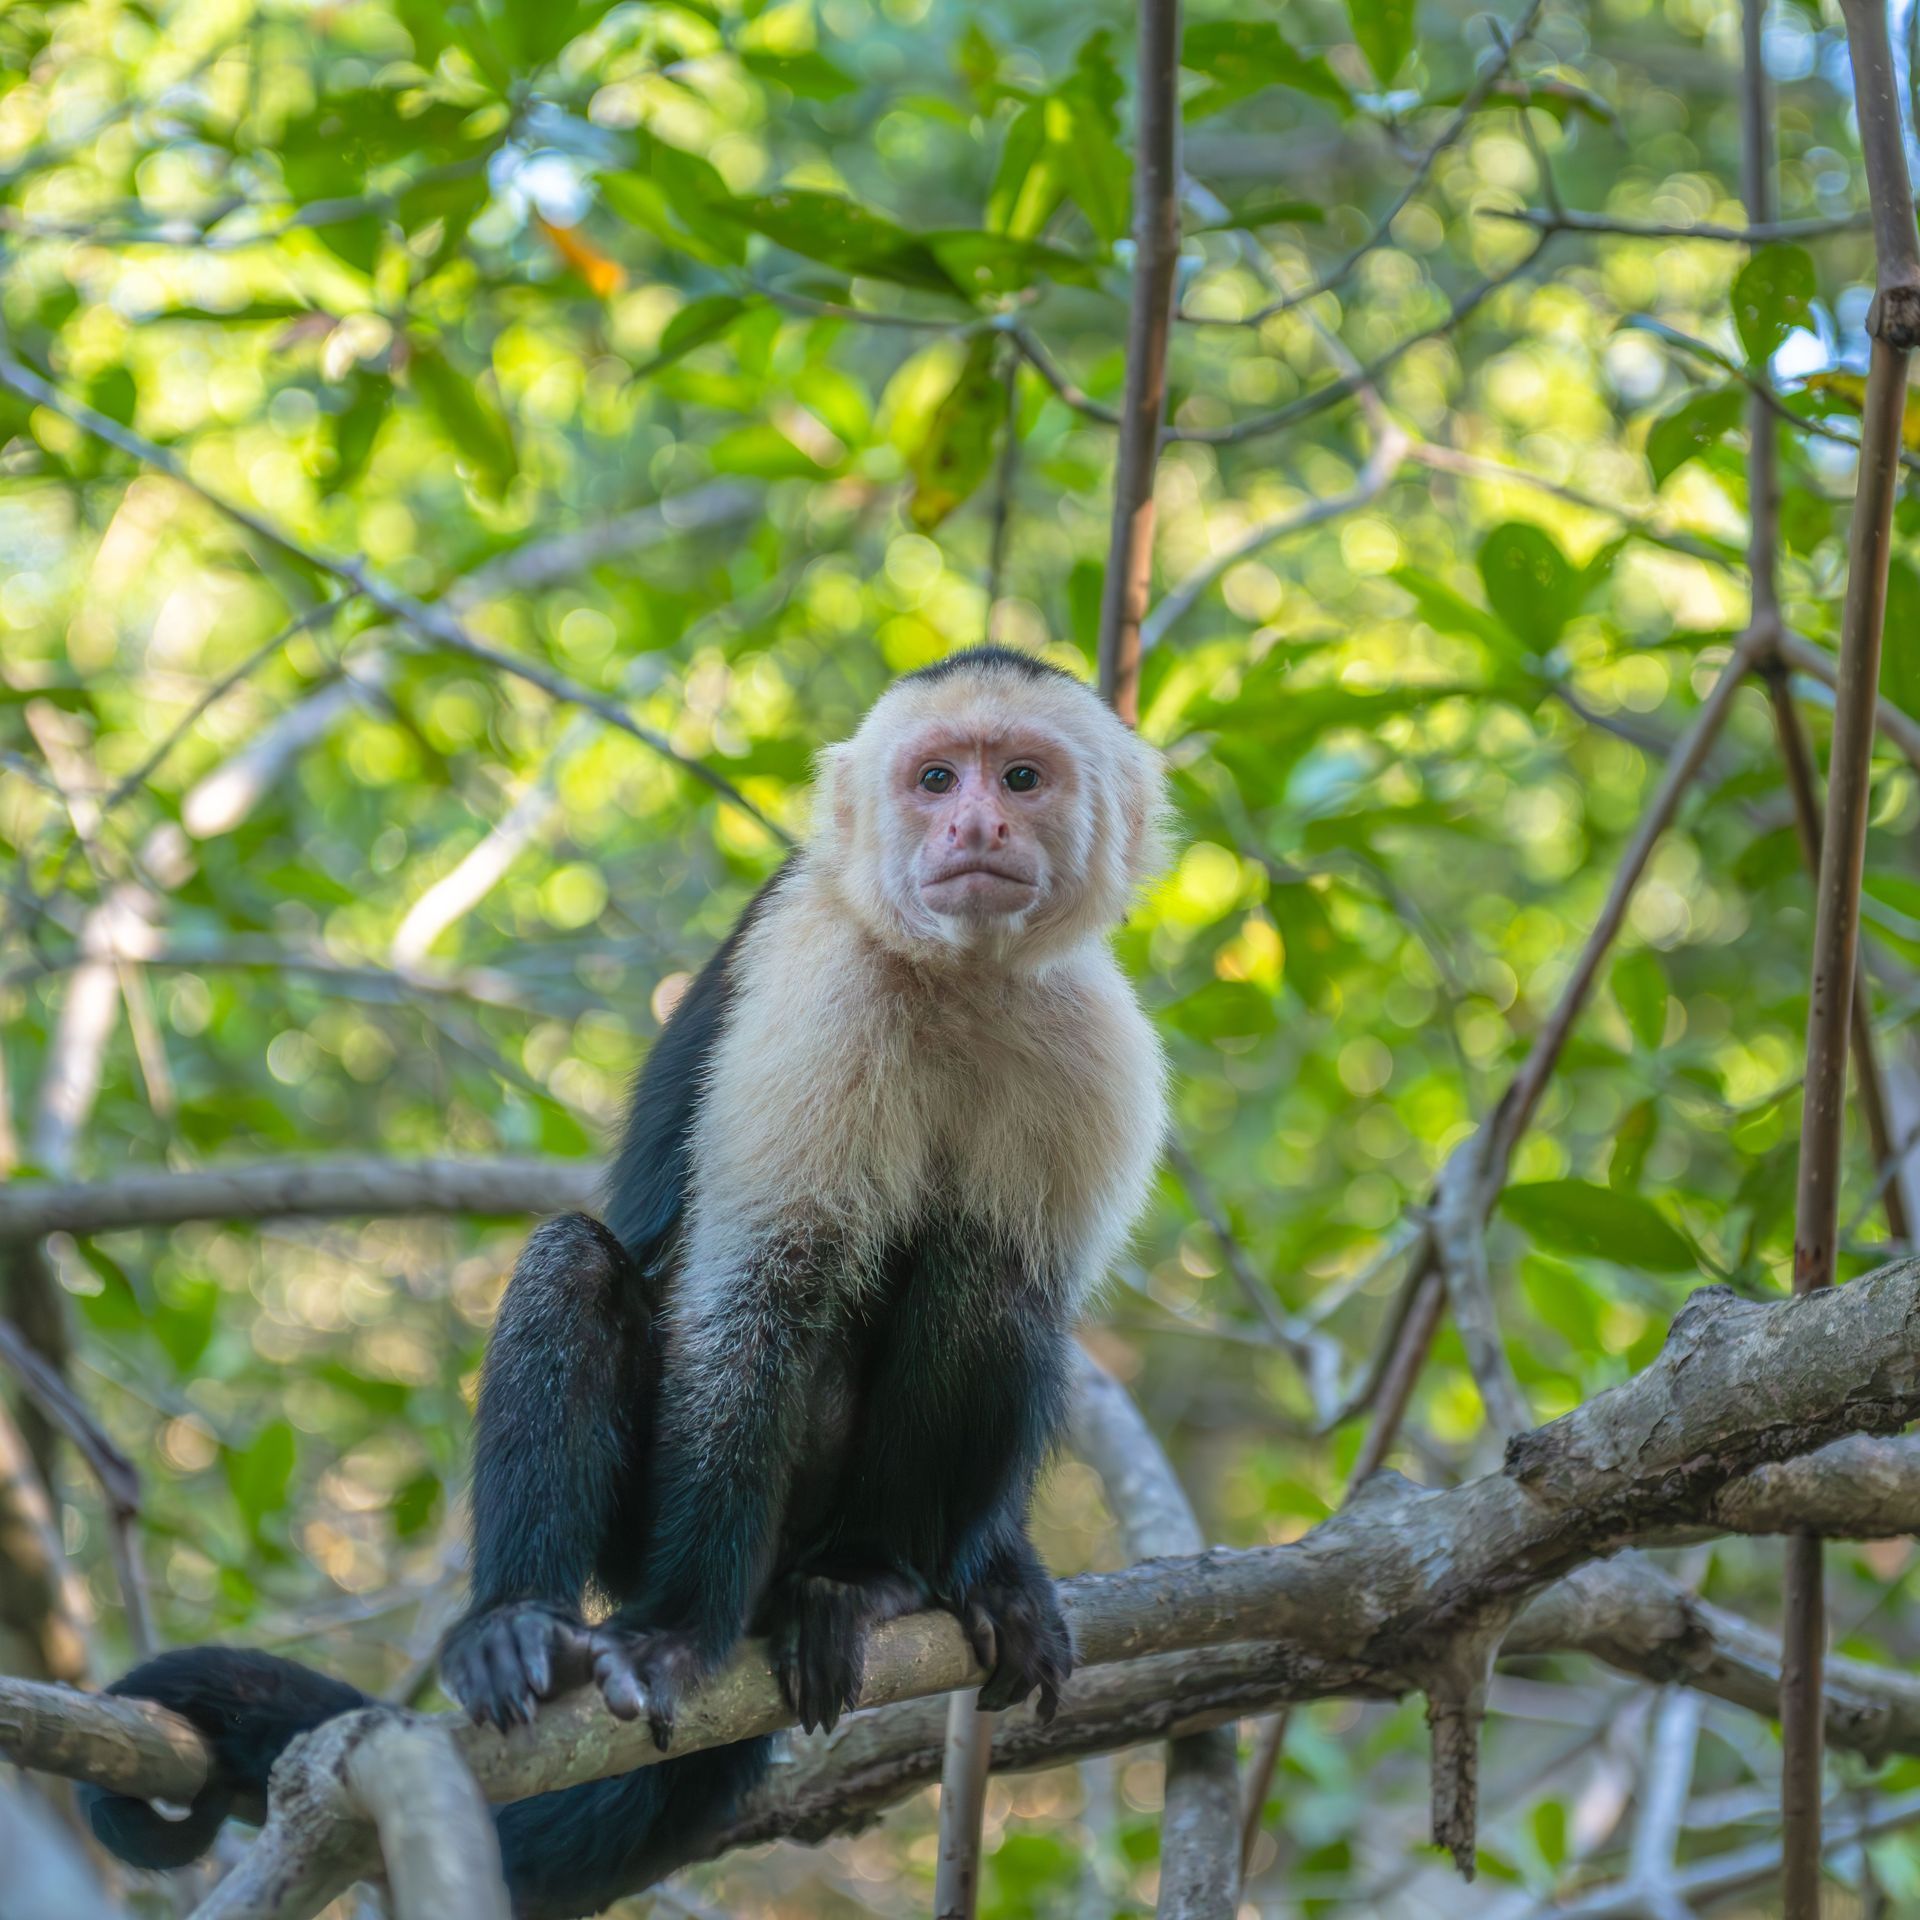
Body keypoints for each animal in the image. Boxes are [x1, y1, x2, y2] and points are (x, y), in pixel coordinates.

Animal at [84, 646, 1169, 1920]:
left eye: (1024, 777)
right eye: (937, 777)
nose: (978, 823)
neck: (954, 975)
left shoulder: (1089, 1032)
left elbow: (1019, 1284)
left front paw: (990, 1573)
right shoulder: (817, 984)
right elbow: (762, 1292)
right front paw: (679, 1638)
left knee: (990, 1286)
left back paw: (871, 1578)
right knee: (576, 1265)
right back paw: (522, 1626)